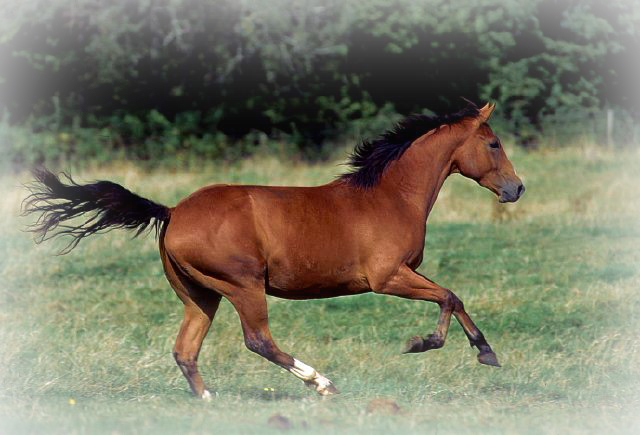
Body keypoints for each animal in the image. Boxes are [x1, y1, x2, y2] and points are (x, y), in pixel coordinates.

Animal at [25, 103, 524, 402]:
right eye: (493, 143)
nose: (516, 189)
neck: (390, 195)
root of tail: (172, 212)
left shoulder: (398, 277)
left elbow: (452, 297)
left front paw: (479, 351)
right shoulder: (387, 278)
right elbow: (450, 296)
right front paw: (436, 345)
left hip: (199, 295)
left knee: (186, 350)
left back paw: (208, 401)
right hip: (242, 286)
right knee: (258, 340)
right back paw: (322, 383)